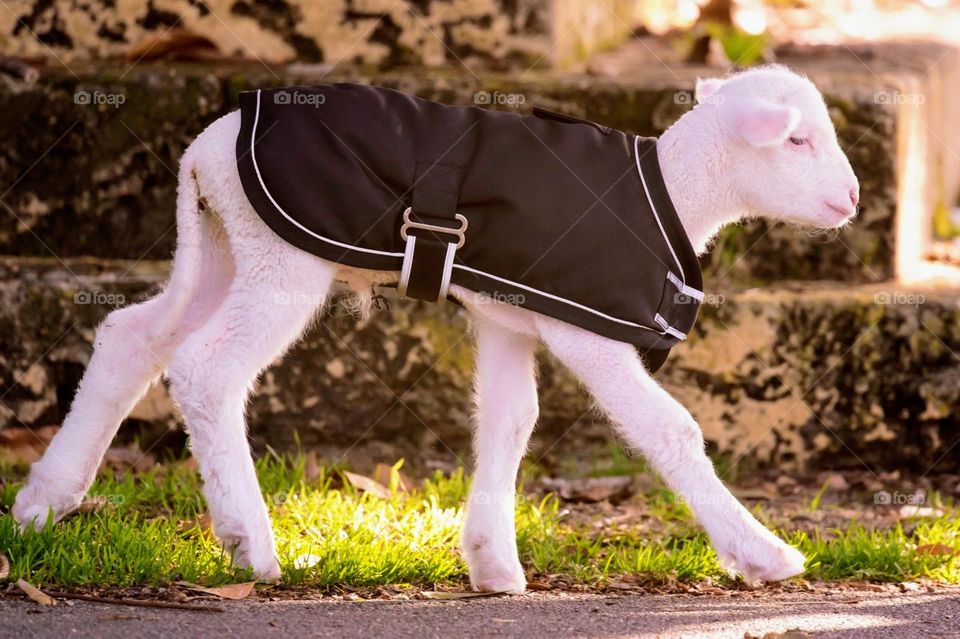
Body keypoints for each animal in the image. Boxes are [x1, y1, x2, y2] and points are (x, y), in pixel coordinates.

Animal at [13, 64, 859, 593]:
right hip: (281, 258)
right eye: (796, 140)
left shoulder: (511, 317)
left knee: (132, 336)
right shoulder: (590, 327)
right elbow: (669, 428)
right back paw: (250, 541)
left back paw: (41, 503)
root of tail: (207, 146)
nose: (852, 198)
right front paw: (763, 554)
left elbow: (511, 420)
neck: (675, 190)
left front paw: (492, 563)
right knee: (206, 368)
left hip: (222, 243)